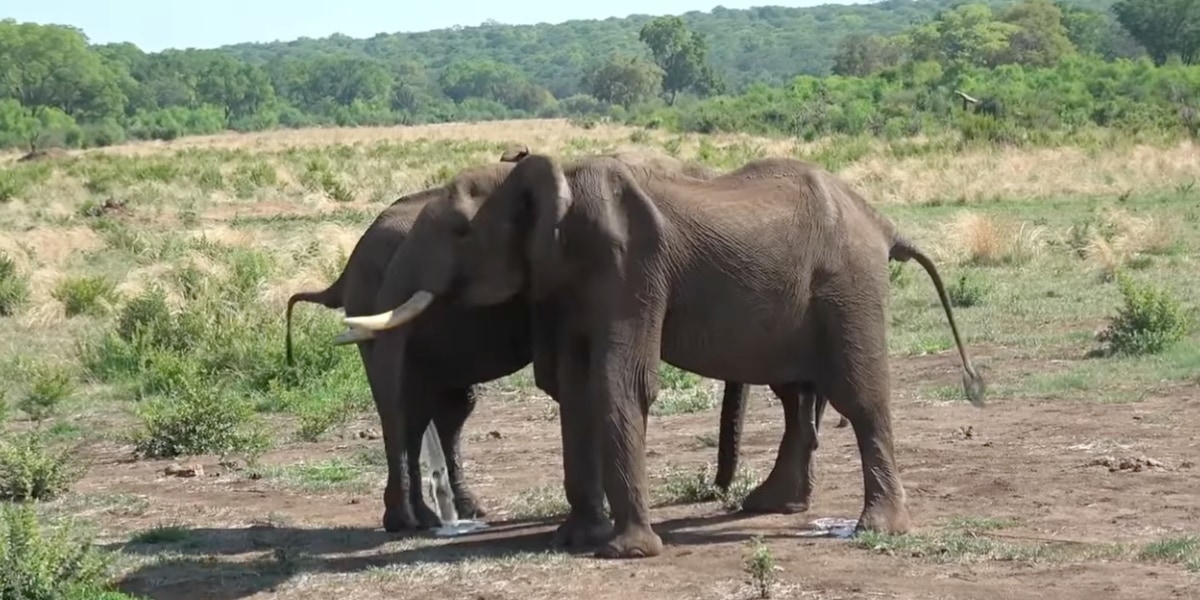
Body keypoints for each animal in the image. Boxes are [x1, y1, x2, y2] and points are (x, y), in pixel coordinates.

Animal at [288, 147, 777, 532]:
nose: (714, 490)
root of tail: (348, 267)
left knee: (439, 407)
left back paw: (447, 515)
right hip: (372, 301)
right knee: (408, 405)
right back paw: (414, 522)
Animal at [340, 151, 984, 556]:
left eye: (459, 231)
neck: (553, 175)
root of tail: (881, 221)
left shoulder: (631, 266)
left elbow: (619, 381)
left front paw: (625, 552)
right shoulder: (565, 284)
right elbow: (575, 383)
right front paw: (576, 540)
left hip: (849, 285)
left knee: (861, 398)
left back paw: (879, 529)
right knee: (801, 391)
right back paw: (766, 505)